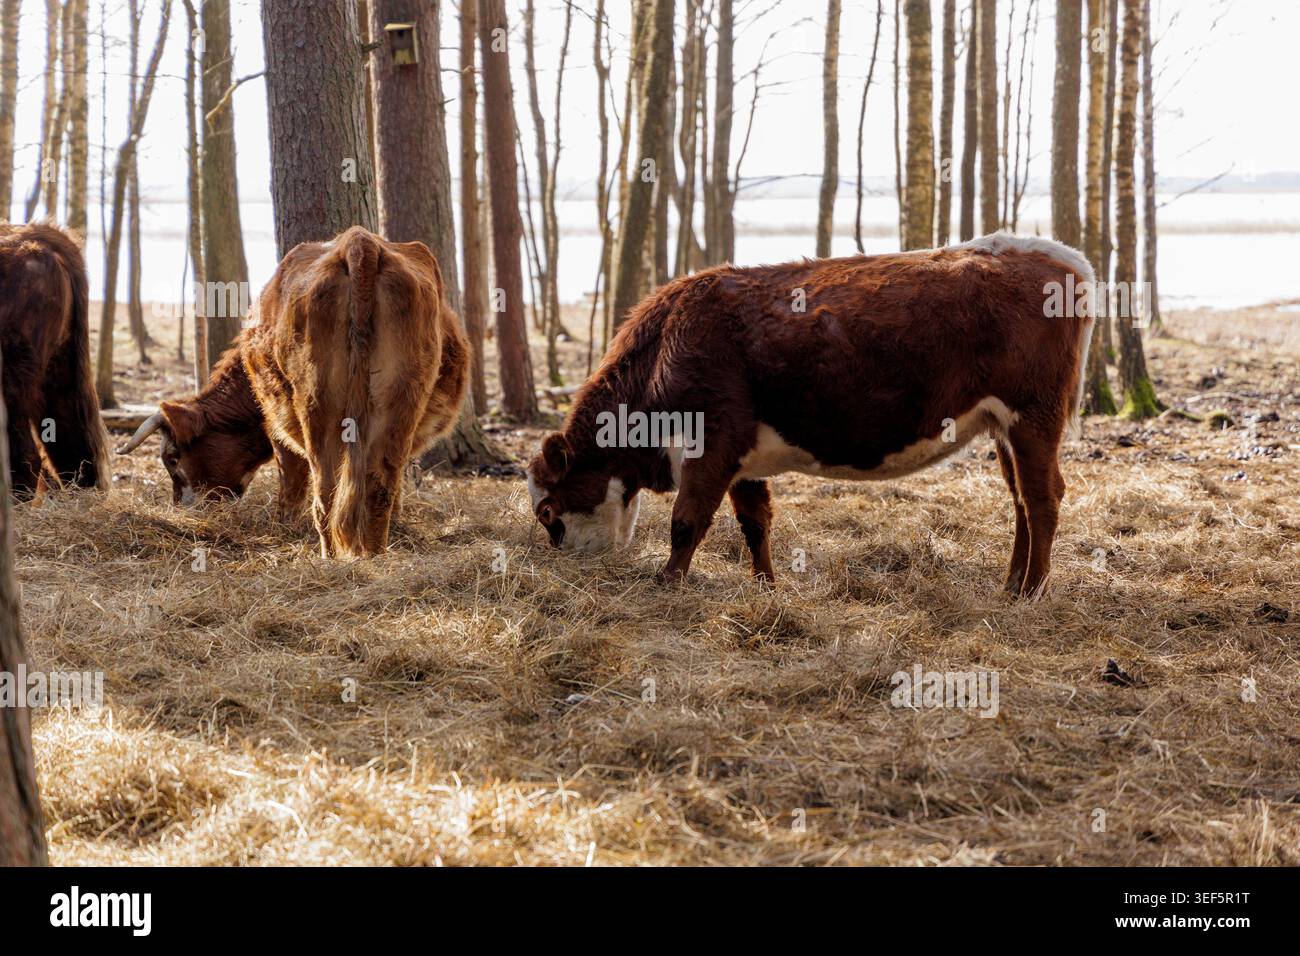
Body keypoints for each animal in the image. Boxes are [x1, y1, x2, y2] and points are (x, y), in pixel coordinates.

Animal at [120, 226, 468, 558]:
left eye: (172, 458)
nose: (182, 508)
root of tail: (359, 242)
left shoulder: (275, 423)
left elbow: (290, 476)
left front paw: (282, 524)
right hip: (400, 401)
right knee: (377, 486)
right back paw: (374, 553)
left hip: (316, 406)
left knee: (325, 491)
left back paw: (330, 555)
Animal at [527, 233, 1096, 598]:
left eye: (547, 512)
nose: (565, 563)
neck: (668, 341)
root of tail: (1056, 254)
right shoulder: (744, 460)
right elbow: (755, 523)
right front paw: (766, 587)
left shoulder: (711, 442)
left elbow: (687, 520)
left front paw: (668, 582)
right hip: (1005, 428)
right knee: (1021, 499)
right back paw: (1011, 584)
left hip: (1033, 416)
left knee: (1042, 499)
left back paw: (1033, 590)